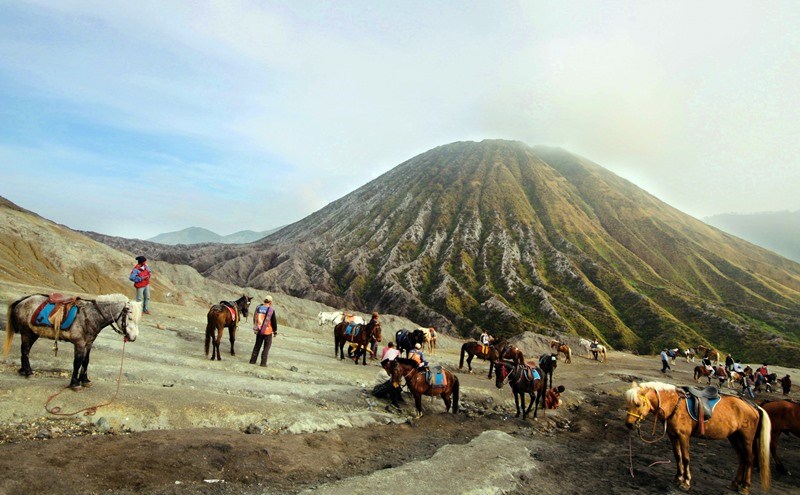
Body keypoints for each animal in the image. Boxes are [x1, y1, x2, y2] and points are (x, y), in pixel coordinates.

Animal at [3, 294, 141, 392]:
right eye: (129, 318)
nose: (133, 337)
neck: (91, 316)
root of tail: (22, 300)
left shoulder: (89, 343)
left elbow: (86, 361)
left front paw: (85, 381)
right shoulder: (79, 343)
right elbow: (77, 362)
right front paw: (75, 384)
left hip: (33, 334)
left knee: (24, 351)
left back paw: (23, 371)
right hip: (26, 333)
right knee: (25, 351)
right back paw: (29, 373)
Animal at [624, 382, 768, 494]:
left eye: (638, 404)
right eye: (627, 404)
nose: (629, 424)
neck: (673, 404)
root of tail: (754, 406)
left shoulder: (683, 436)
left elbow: (686, 458)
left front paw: (686, 482)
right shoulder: (673, 435)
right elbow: (677, 456)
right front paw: (678, 478)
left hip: (746, 438)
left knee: (749, 458)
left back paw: (745, 487)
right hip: (734, 437)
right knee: (742, 458)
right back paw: (735, 483)